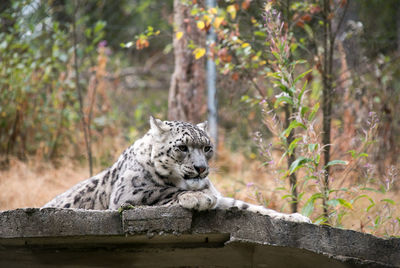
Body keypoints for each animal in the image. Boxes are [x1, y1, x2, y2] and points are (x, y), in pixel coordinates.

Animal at [43, 116, 312, 223]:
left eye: (207, 147)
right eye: (182, 147)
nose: (201, 168)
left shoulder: (227, 200)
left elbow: (250, 207)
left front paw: (296, 217)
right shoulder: (128, 193)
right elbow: (163, 191)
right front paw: (199, 197)